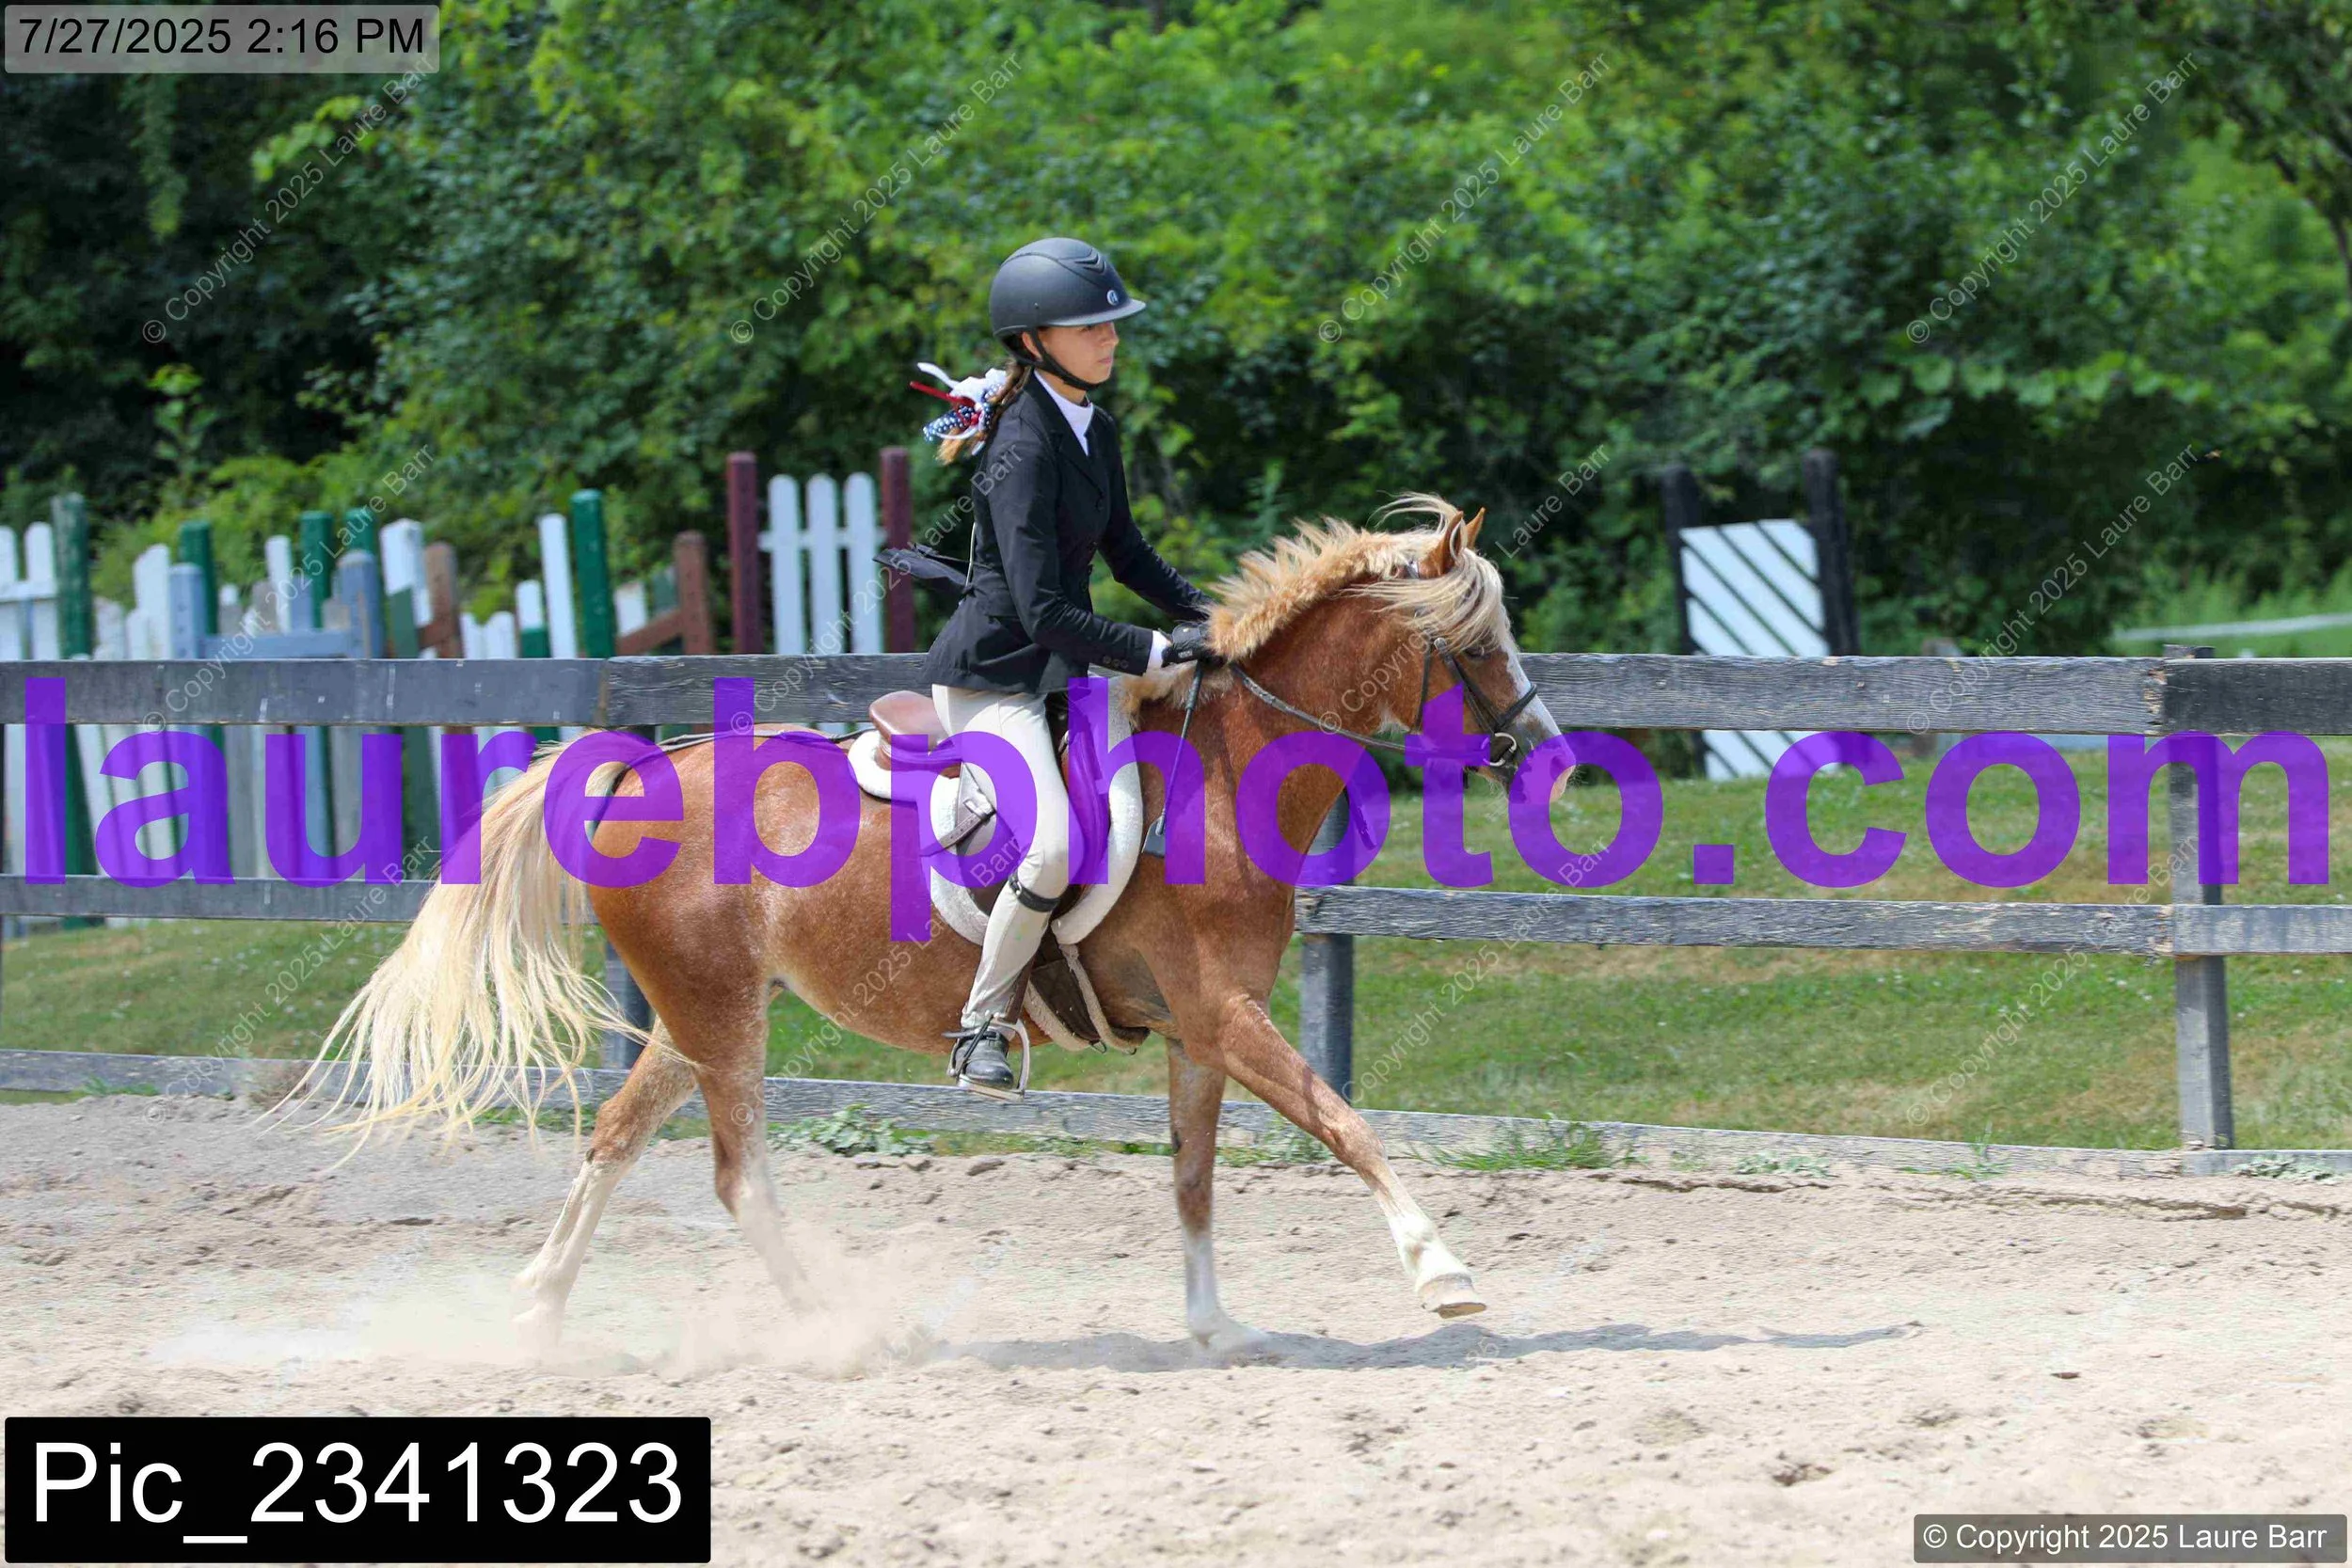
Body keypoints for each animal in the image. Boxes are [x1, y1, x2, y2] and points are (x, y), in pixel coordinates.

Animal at [312, 495, 1563, 1354]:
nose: (1544, 755)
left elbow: (1194, 1177)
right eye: (1476, 644)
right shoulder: (1222, 1014)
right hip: (720, 1017)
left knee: (618, 1140)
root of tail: (636, 771)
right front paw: (1444, 1272)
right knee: (738, 1176)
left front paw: (1218, 1326)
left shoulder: (1200, 1032)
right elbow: (1345, 1124)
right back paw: (850, 1331)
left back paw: (538, 1310)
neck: (1221, 771)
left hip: (697, 1012)